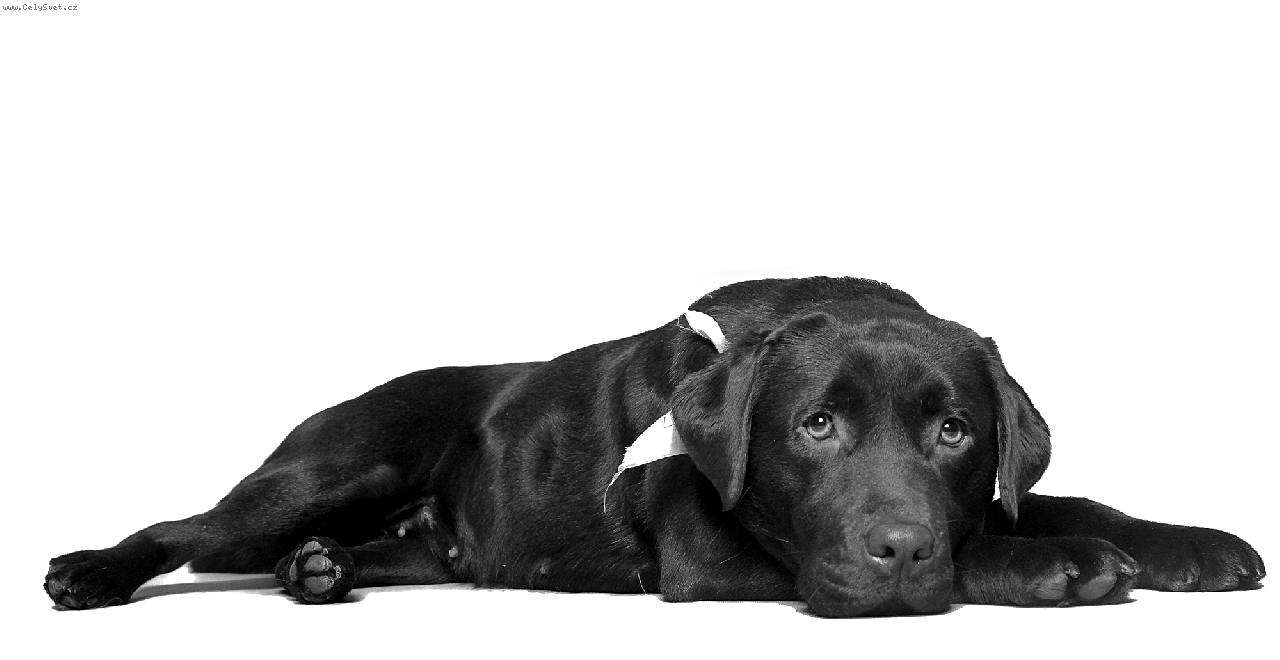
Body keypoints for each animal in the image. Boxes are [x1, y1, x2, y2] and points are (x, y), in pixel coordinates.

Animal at [45, 277, 1265, 616]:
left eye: (955, 430)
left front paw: (1188, 544)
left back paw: (323, 570)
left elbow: (1061, 497)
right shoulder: (709, 552)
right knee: (189, 525)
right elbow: (993, 541)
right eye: (814, 425)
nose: (903, 550)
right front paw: (1051, 565)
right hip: (340, 460)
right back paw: (91, 570)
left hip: (428, 538)